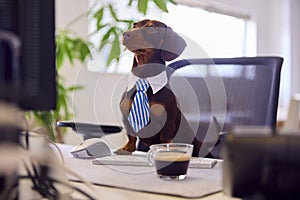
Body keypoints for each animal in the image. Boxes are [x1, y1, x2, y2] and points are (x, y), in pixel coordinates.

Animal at [116, 19, 203, 156]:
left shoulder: (168, 122)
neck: (144, 77)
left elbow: (165, 139)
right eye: (134, 25)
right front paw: (126, 149)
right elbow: (131, 136)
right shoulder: (126, 116)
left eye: (152, 29)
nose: (126, 34)